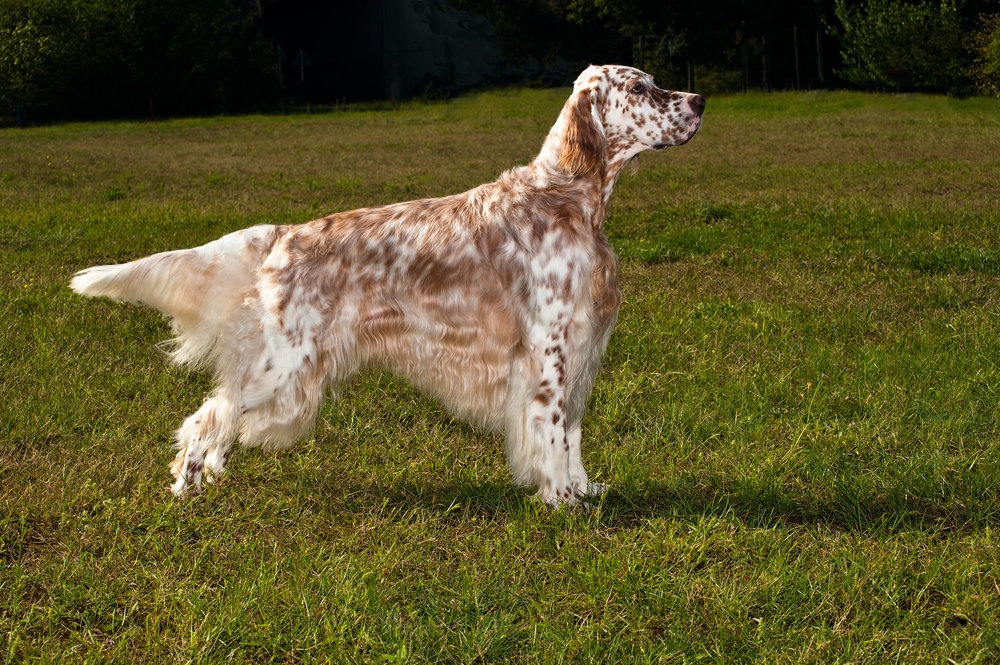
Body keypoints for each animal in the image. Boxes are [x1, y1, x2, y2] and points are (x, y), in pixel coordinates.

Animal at [70, 65, 704, 506]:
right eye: (642, 87)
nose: (699, 101)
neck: (568, 198)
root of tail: (284, 234)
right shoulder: (549, 355)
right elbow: (551, 433)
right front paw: (562, 504)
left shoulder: (579, 351)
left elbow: (571, 435)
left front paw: (583, 493)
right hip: (282, 361)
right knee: (207, 416)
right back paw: (187, 487)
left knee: (219, 415)